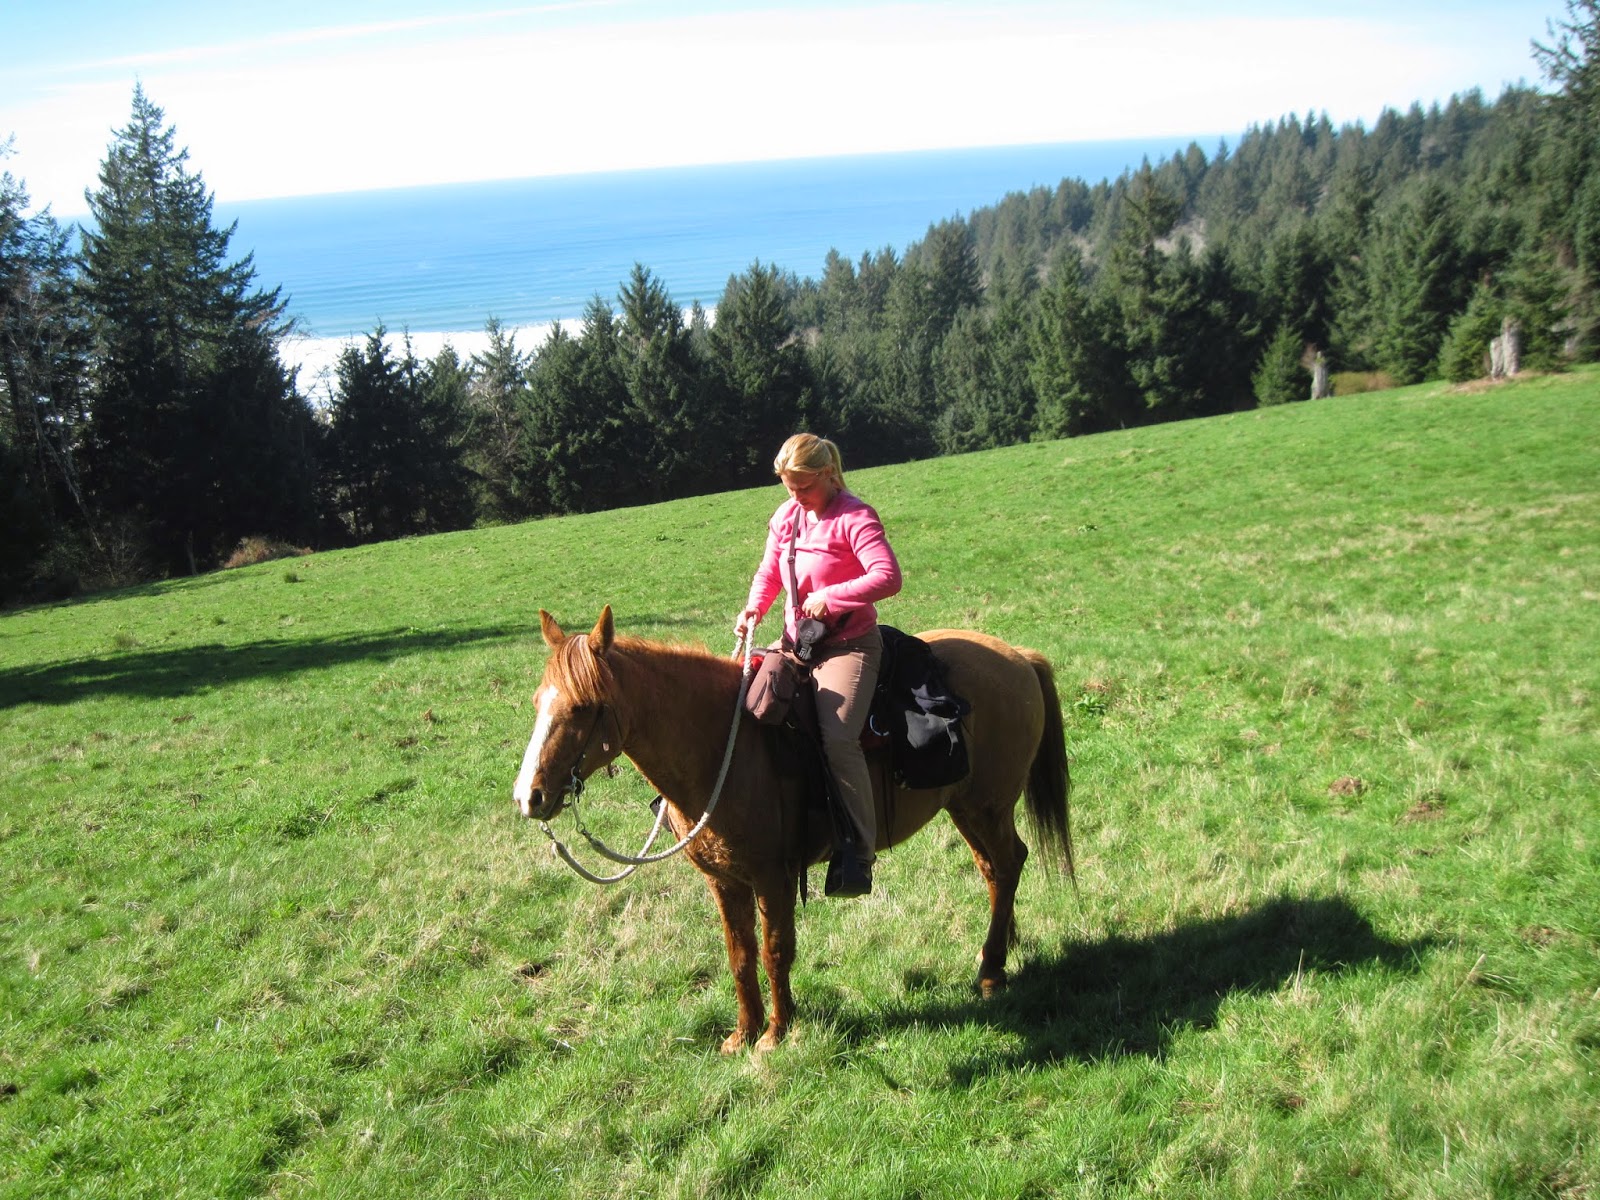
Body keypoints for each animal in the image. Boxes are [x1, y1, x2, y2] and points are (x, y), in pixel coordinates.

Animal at [513, 606, 1073, 1054]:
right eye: (539, 700)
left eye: (583, 707)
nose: (528, 796)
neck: (724, 746)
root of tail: (1018, 656)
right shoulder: (724, 881)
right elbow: (740, 957)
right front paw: (742, 1033)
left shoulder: (773, 877)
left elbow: (776, 951)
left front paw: (775, 1034)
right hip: (967, 808)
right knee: (994, 869)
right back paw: (1000, 951)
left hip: (987, 806)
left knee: (1008, 864)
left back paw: (991, 969)